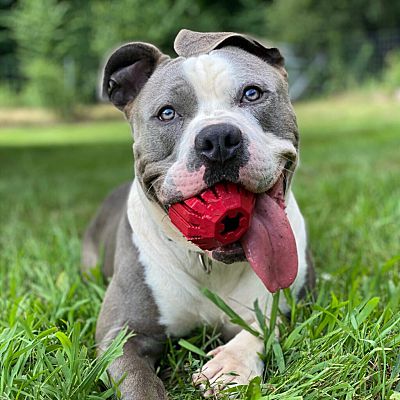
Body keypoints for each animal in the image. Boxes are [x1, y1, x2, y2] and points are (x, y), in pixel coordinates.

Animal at [83, 29, 316, 398]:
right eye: (167, 113)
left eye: (252, 93)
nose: (218, 137)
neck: (211, 264)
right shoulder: (121, 335)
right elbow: (138, 382)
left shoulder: (290, 302)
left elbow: (265, 327)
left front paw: (231, 365)